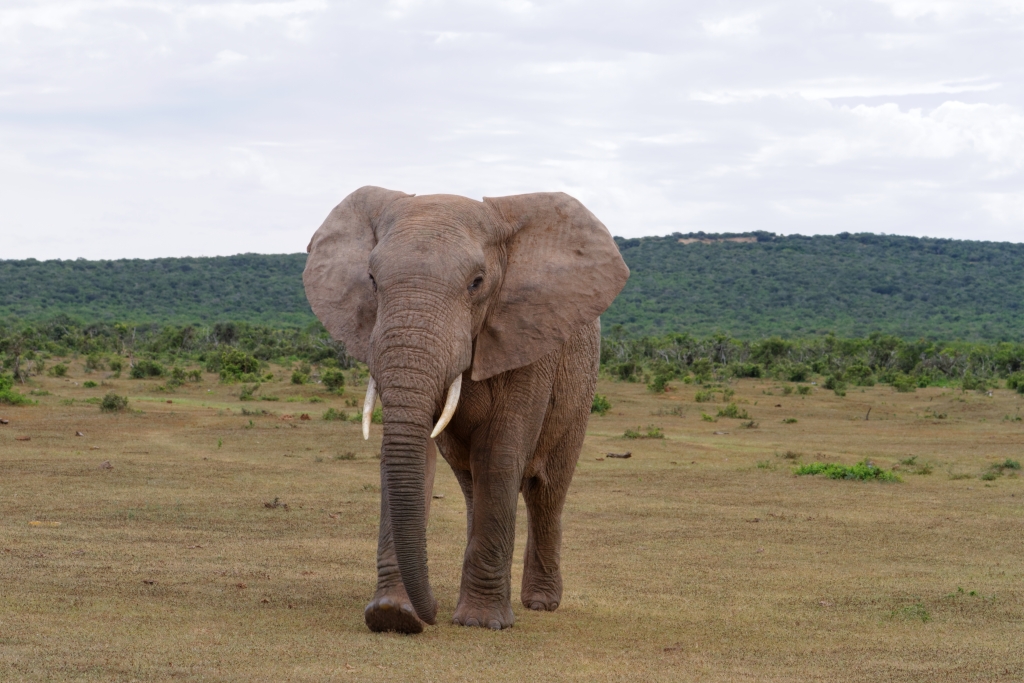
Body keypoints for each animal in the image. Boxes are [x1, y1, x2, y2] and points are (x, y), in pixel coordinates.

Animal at [303, 186, 629, 633]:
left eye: (477, 283)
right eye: (371, 280)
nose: (431, 615)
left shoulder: (529, 338)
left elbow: (500, 454)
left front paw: (481, 623)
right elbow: (415, 452)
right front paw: (392, 615)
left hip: (581, 386)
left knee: (546, 490)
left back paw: (540, 603)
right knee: (474, 484)